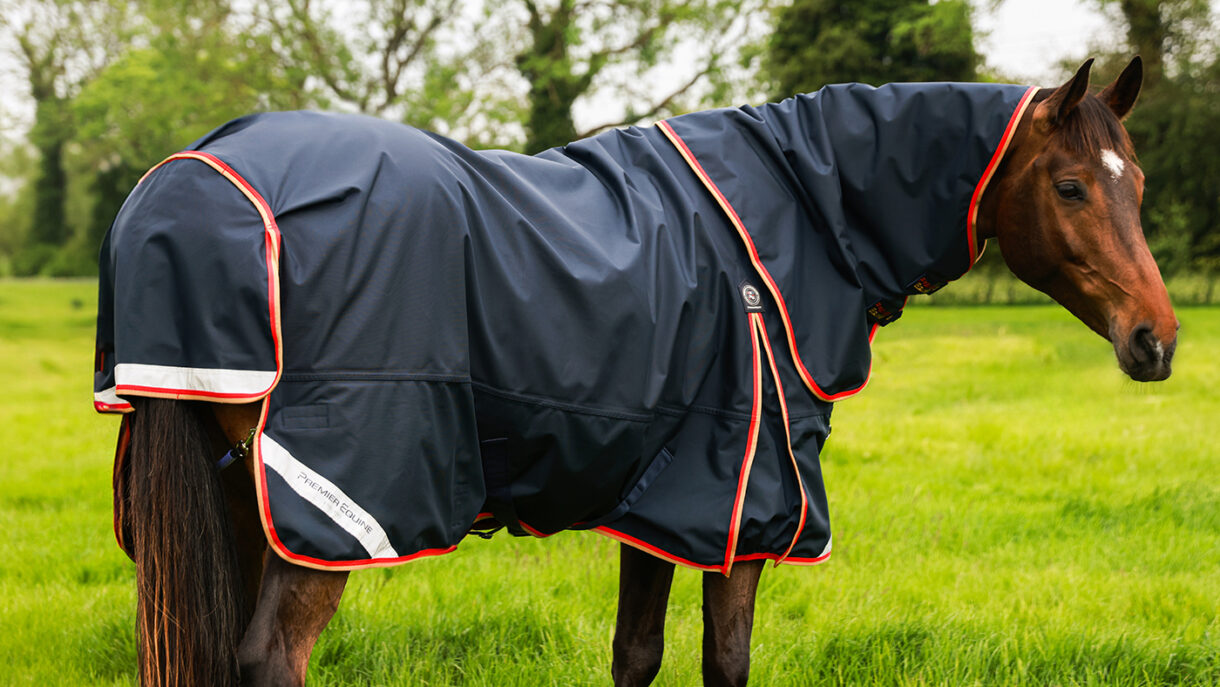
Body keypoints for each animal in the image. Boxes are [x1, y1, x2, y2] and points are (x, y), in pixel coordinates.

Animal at [96, 56, 1175, 686]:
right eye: (1070, 186)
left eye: (1139, 185)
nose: (1157, 341)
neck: (798, 211)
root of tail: (185, 185)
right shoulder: (747, 502)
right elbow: (725, 660)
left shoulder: (664, 496)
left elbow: (637, 655)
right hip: (334, 507)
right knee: (269, 660)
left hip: (244, 501)